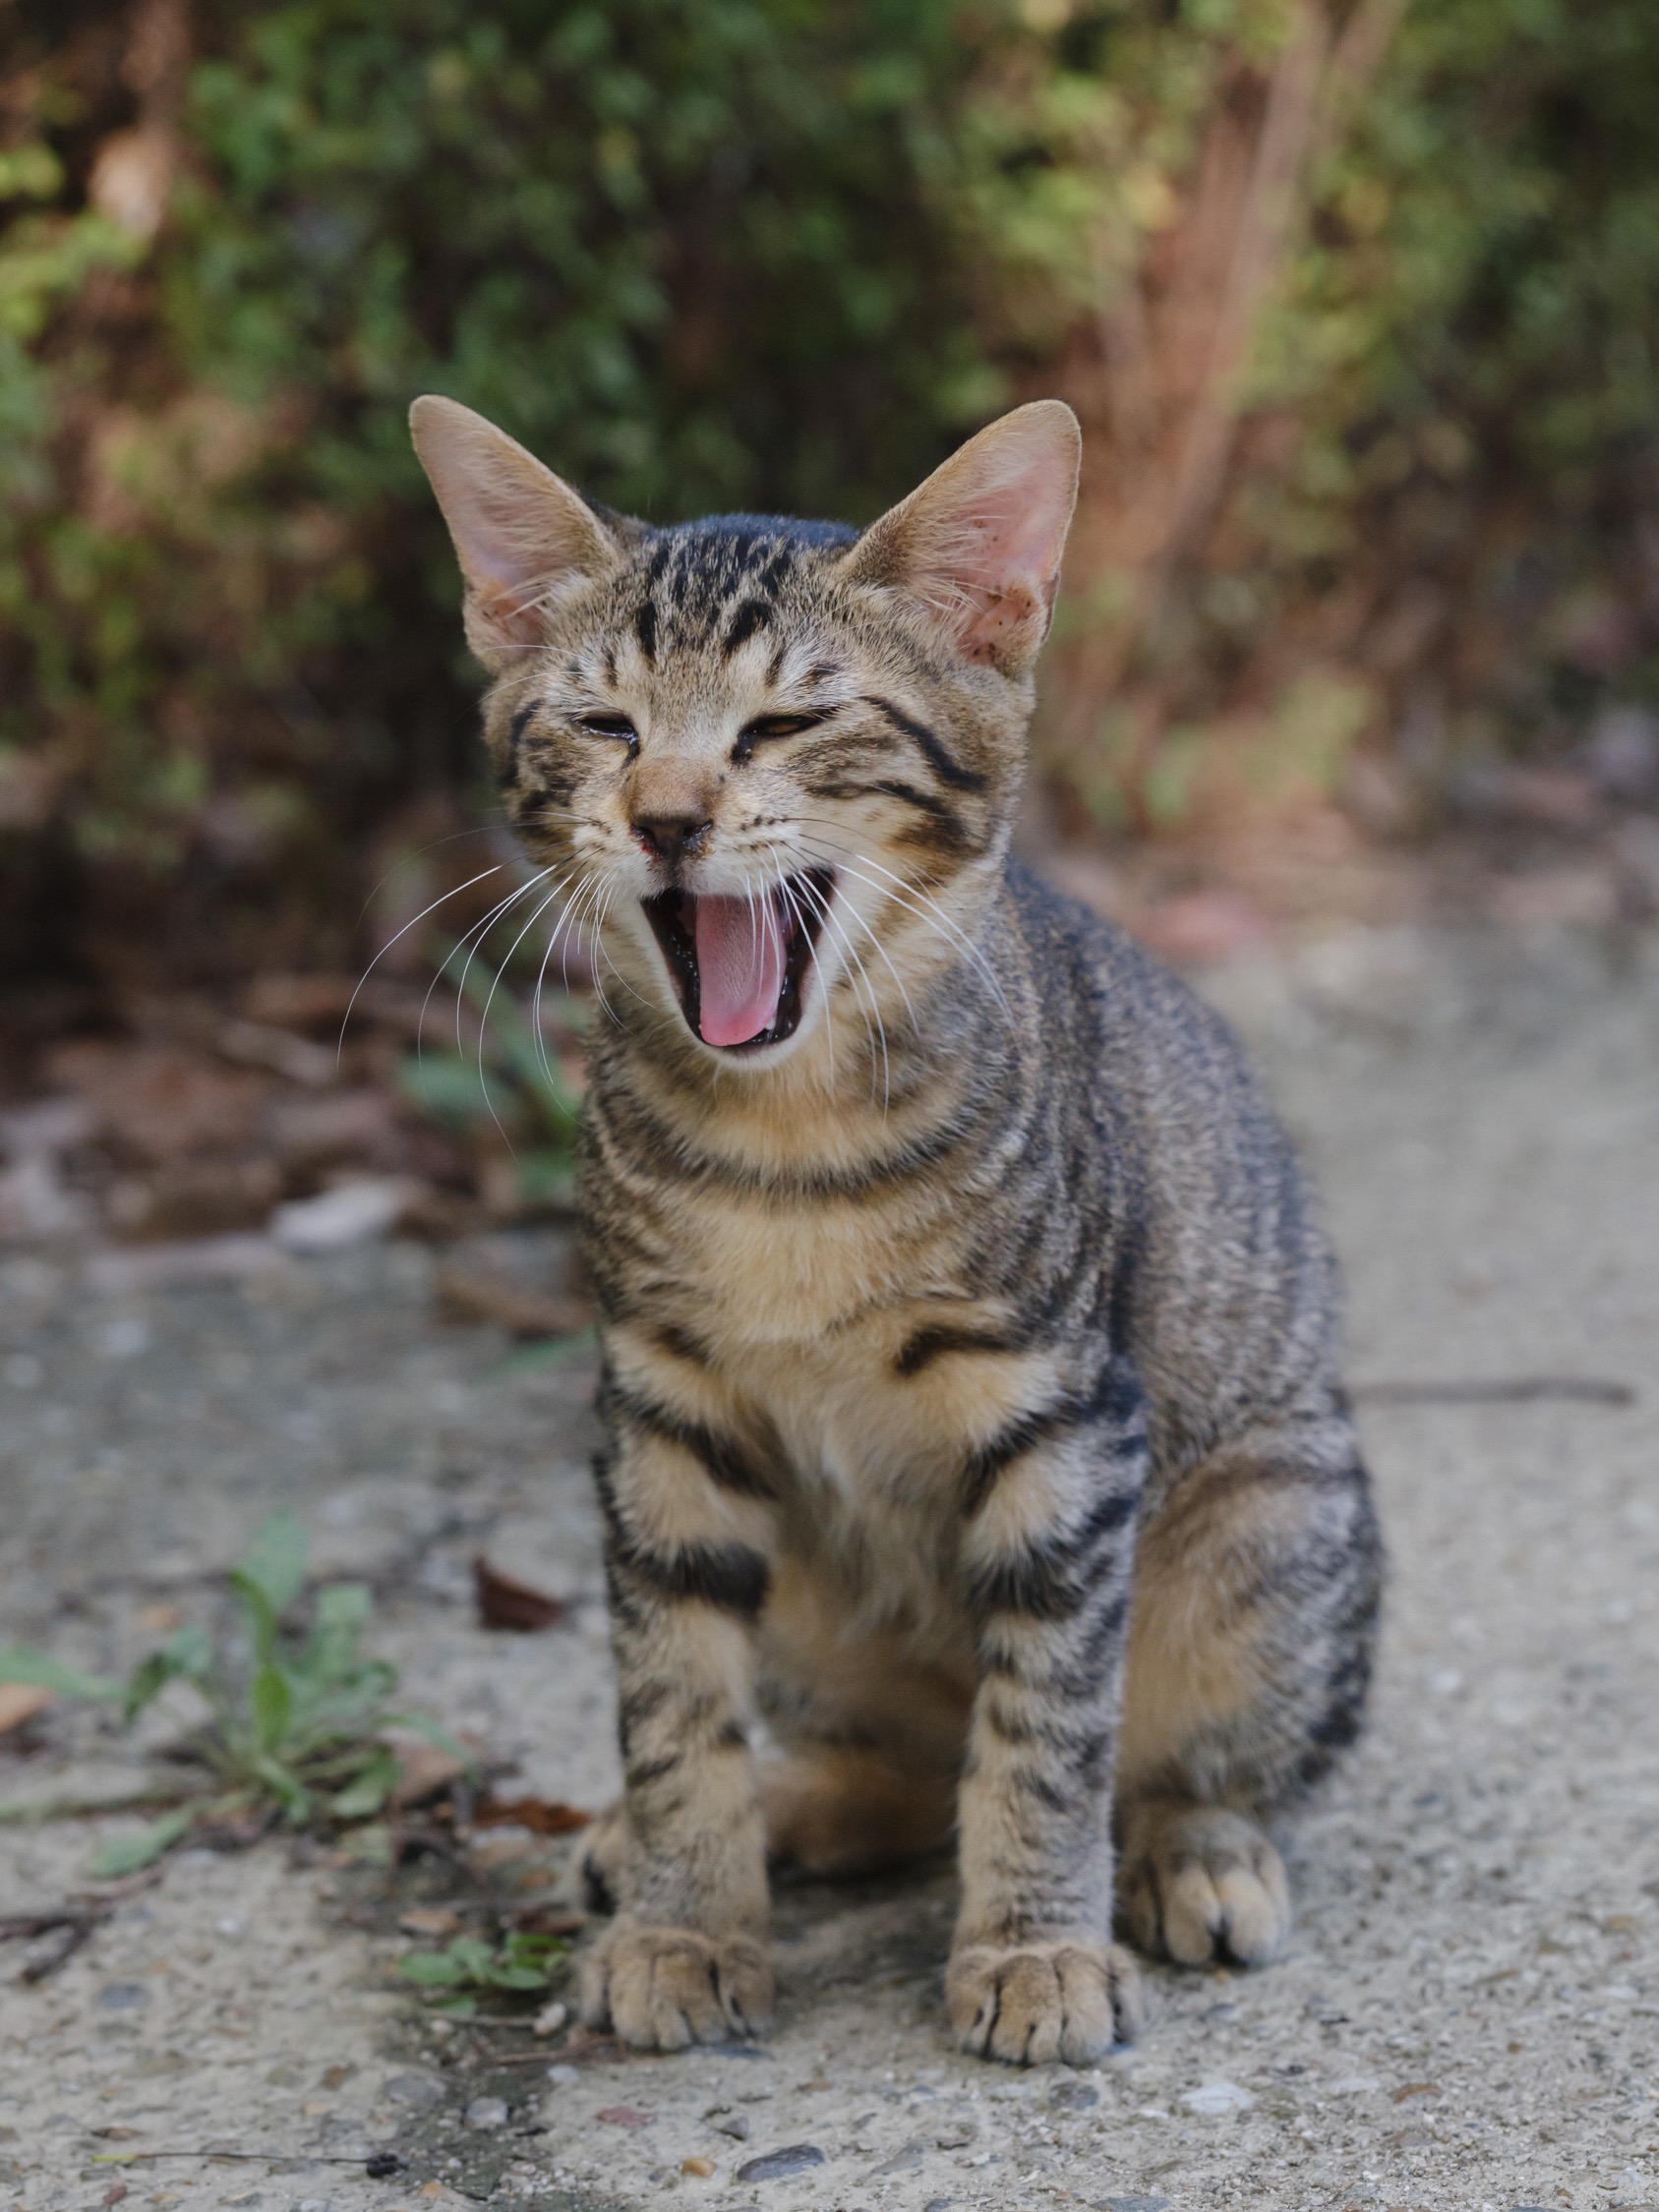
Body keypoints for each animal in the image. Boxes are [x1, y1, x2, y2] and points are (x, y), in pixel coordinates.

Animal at [410, 392, 1383, 2067]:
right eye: (602, 727)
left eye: (784, 725)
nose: (664, 818)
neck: (782, 1145)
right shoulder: (656, 1411)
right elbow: (669, 1694)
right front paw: (683, 1913)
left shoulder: (1062, 1414)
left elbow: (1048, 1721)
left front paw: (1036, 1945)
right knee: (899, 1773)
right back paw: (735, 1819)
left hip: (1266, 1516)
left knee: (1163, 1749)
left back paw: (1191, 1848)